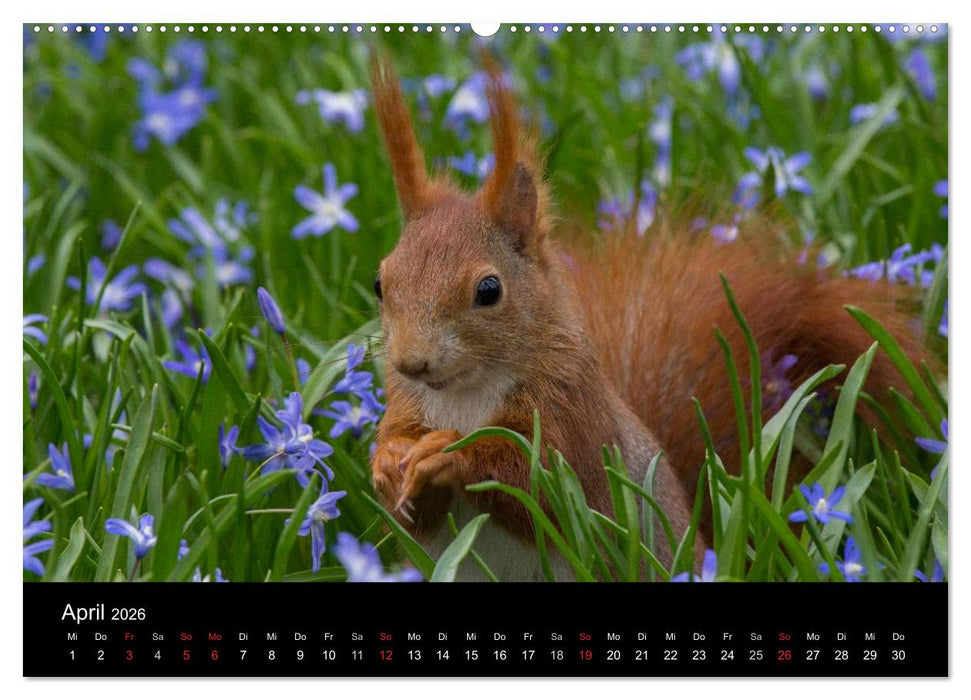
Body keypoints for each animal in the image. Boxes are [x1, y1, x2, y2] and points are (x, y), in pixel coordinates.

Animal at [366, 55, 929, 582]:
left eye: (489, 290)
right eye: (380, 282)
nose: (411, 362)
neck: (465, 393)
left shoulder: (573, 412)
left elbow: (535, 482)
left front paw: (445, 452)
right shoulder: (407, 406)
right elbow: (415, 515)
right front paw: (387, 463)